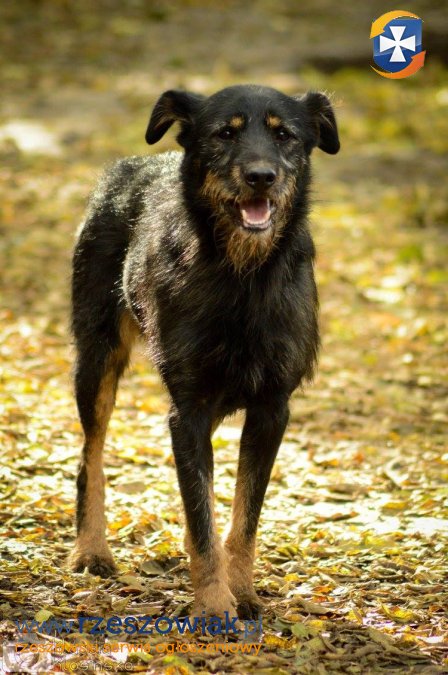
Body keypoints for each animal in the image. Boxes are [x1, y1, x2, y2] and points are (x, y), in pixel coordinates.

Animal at [69, 84, 339, 620]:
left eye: (284, 134)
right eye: (224, 133)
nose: (261, 176)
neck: (243, 276)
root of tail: (128, 167)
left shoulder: (271, 409)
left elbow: (242, 515)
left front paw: (243, 593)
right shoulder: (188, 409)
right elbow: (201, 514)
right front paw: (214, 606)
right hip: (97, 361)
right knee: (91, 456)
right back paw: (91, 549)